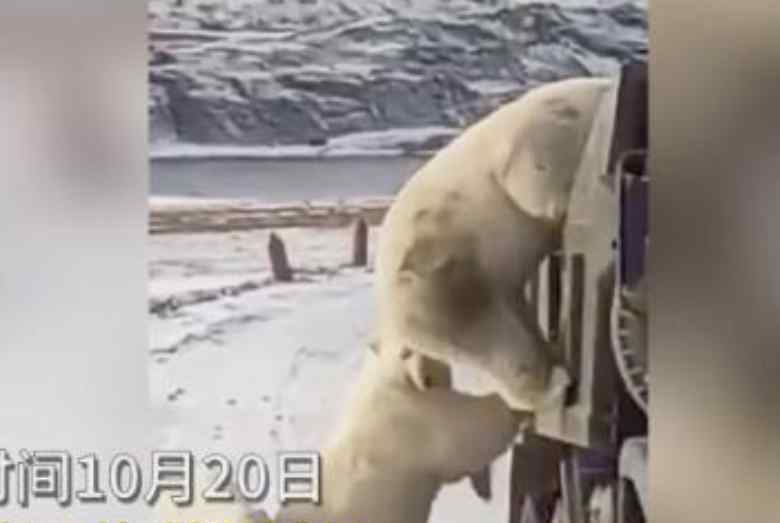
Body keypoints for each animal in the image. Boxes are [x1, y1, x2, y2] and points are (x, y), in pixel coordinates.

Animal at [374, 77, 612, 414]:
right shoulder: (544, 124)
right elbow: (532, 173)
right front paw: (560, 203)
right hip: (440, 283)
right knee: (492, 340)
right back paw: (553, 385)